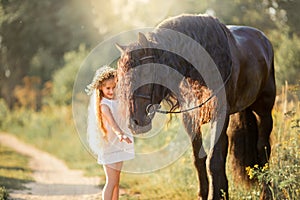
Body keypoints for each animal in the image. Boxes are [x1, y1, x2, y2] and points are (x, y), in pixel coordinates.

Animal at [116, 13, 276, 198]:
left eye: (146, 71)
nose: (133, 122)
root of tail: (264, 40)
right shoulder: (190, 118)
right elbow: (199, 159)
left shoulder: (219, 115)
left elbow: (214, 160)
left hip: (264, 111)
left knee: (262, 148)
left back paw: (266, 192)